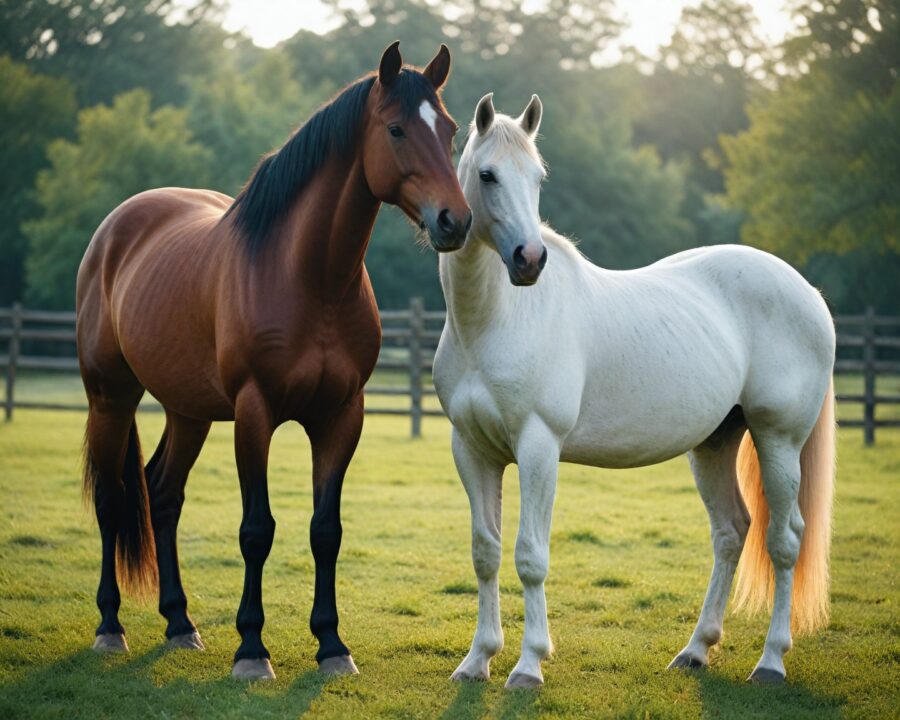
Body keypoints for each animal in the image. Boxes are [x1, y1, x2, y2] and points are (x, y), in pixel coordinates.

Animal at [76, 42, 471, 681]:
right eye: (396, 129)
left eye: (452, 130)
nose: (454, 221)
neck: (309, 277)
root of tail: (116, 227)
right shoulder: (255, 412)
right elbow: (256, 530)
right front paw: (252, 650)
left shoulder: (342, 415)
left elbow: (326, 530)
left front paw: (332, 644)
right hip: (110, 397)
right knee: (113, 501)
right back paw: (110, 627)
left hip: (189, 412)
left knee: (163, 494)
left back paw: (180, 623)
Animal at [433, 93, 835, 689]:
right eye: (488, 174)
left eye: (538, 177)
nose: (529, 260)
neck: (495, 320)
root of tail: (806, 291)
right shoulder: (471, 450)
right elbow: (486, 552)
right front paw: (477, 659)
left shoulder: (537, 447)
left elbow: (530, 556)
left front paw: (528, 665)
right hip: (715, 443)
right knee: (731, 532)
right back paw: (695, 650)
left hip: (778, 439)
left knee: (784, 541)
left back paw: (770, 661)